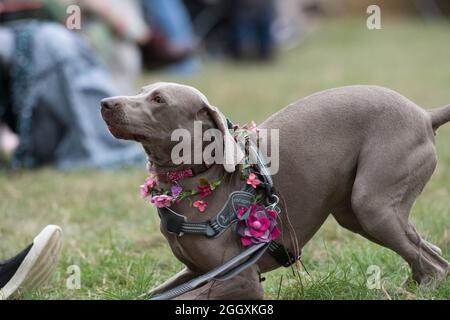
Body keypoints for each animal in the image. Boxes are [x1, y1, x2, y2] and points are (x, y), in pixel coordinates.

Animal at [101, 82, 450, 298]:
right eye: (140, 91)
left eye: (158, 99)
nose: (105, 103)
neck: (197, 179)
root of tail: (423, 113)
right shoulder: (196, 271)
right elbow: (149, 294)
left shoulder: (241, 280)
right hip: (355, 212)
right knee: (430, 254)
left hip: (371, 203)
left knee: (435, 265)